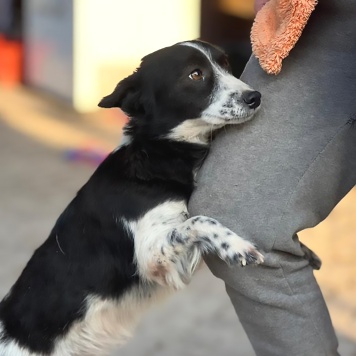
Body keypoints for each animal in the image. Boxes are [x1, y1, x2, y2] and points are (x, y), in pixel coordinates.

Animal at [0, 40, 264, 354]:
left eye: (226, 64)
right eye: (195, 74)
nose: (255, 97)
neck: (159, 154)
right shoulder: (152, 257)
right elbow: (200, 220)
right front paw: (237, 246)